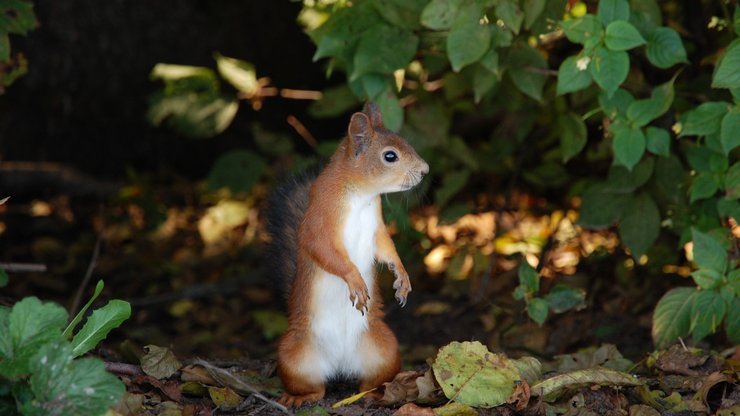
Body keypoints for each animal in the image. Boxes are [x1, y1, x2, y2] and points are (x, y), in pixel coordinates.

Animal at [266, 103, 428, 406]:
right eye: (390, 156)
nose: (425, 171)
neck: (361, 195)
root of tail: (340, 364)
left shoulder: (376, 226)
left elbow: (386, 248)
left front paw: (402, 276)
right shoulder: (320, 221)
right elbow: (325, 251)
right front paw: (355, 280)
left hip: (385, 350)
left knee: (370, 381)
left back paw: (377, 393)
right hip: (294, 356)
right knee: (315, 387)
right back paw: (298, 397)